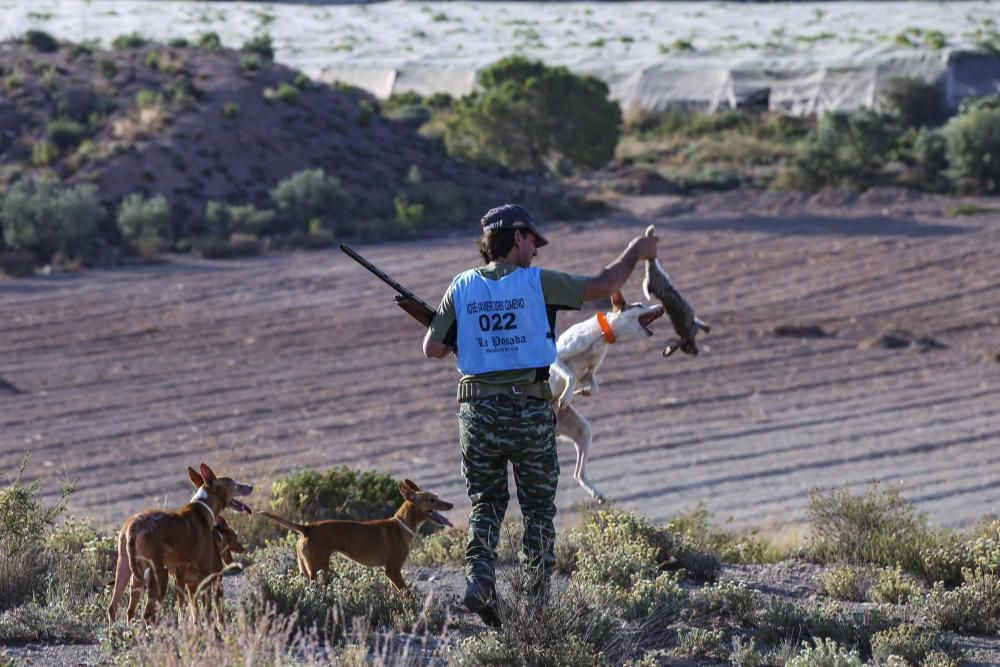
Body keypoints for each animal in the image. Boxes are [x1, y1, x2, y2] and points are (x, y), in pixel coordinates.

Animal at [105, 464, 252, 632]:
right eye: (234, 483)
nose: (250, 486)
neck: (202, 508)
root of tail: (133, 526)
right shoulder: (205, 574)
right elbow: (208, 610)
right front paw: (214, 632)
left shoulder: (181, 580)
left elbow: (185, 612)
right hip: (157, 576)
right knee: (147, 615)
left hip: (124, 571)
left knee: (114, 607)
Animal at [262, 480, 458, 596]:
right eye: (431, 499)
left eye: (437, 497)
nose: (451, 504)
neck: (402, 524)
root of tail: (307, 528)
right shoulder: (392, 570)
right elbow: (408, 595)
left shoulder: (391, 573)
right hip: (316, 569)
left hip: (308, 568)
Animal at [548, 292, 664, 500]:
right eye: (639, 305)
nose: (663, 307)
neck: (601, 335)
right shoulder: (557, 358)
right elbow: (570, 375)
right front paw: (568, 394)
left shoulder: (588, 375)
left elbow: (595, 387)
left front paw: (580, 392)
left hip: (584, 432)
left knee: (578, 474)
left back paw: (597, 494)